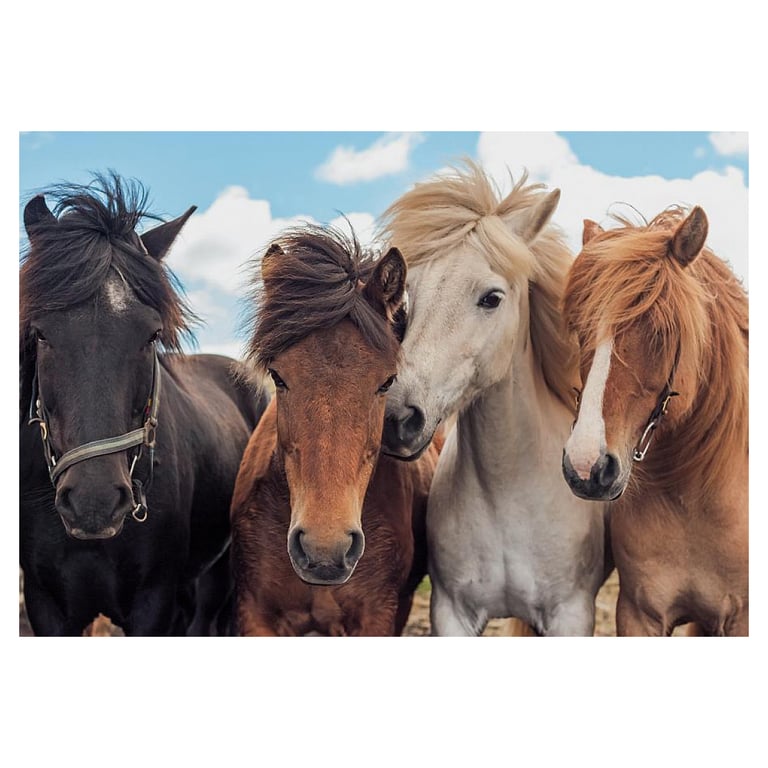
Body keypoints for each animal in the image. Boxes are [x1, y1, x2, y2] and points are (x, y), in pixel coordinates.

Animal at [377, 160, 610, 636]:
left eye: (491, 298)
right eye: (410, 296)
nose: (397, 420)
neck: (508, 496)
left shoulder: (571, 614)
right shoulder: (451, 612)